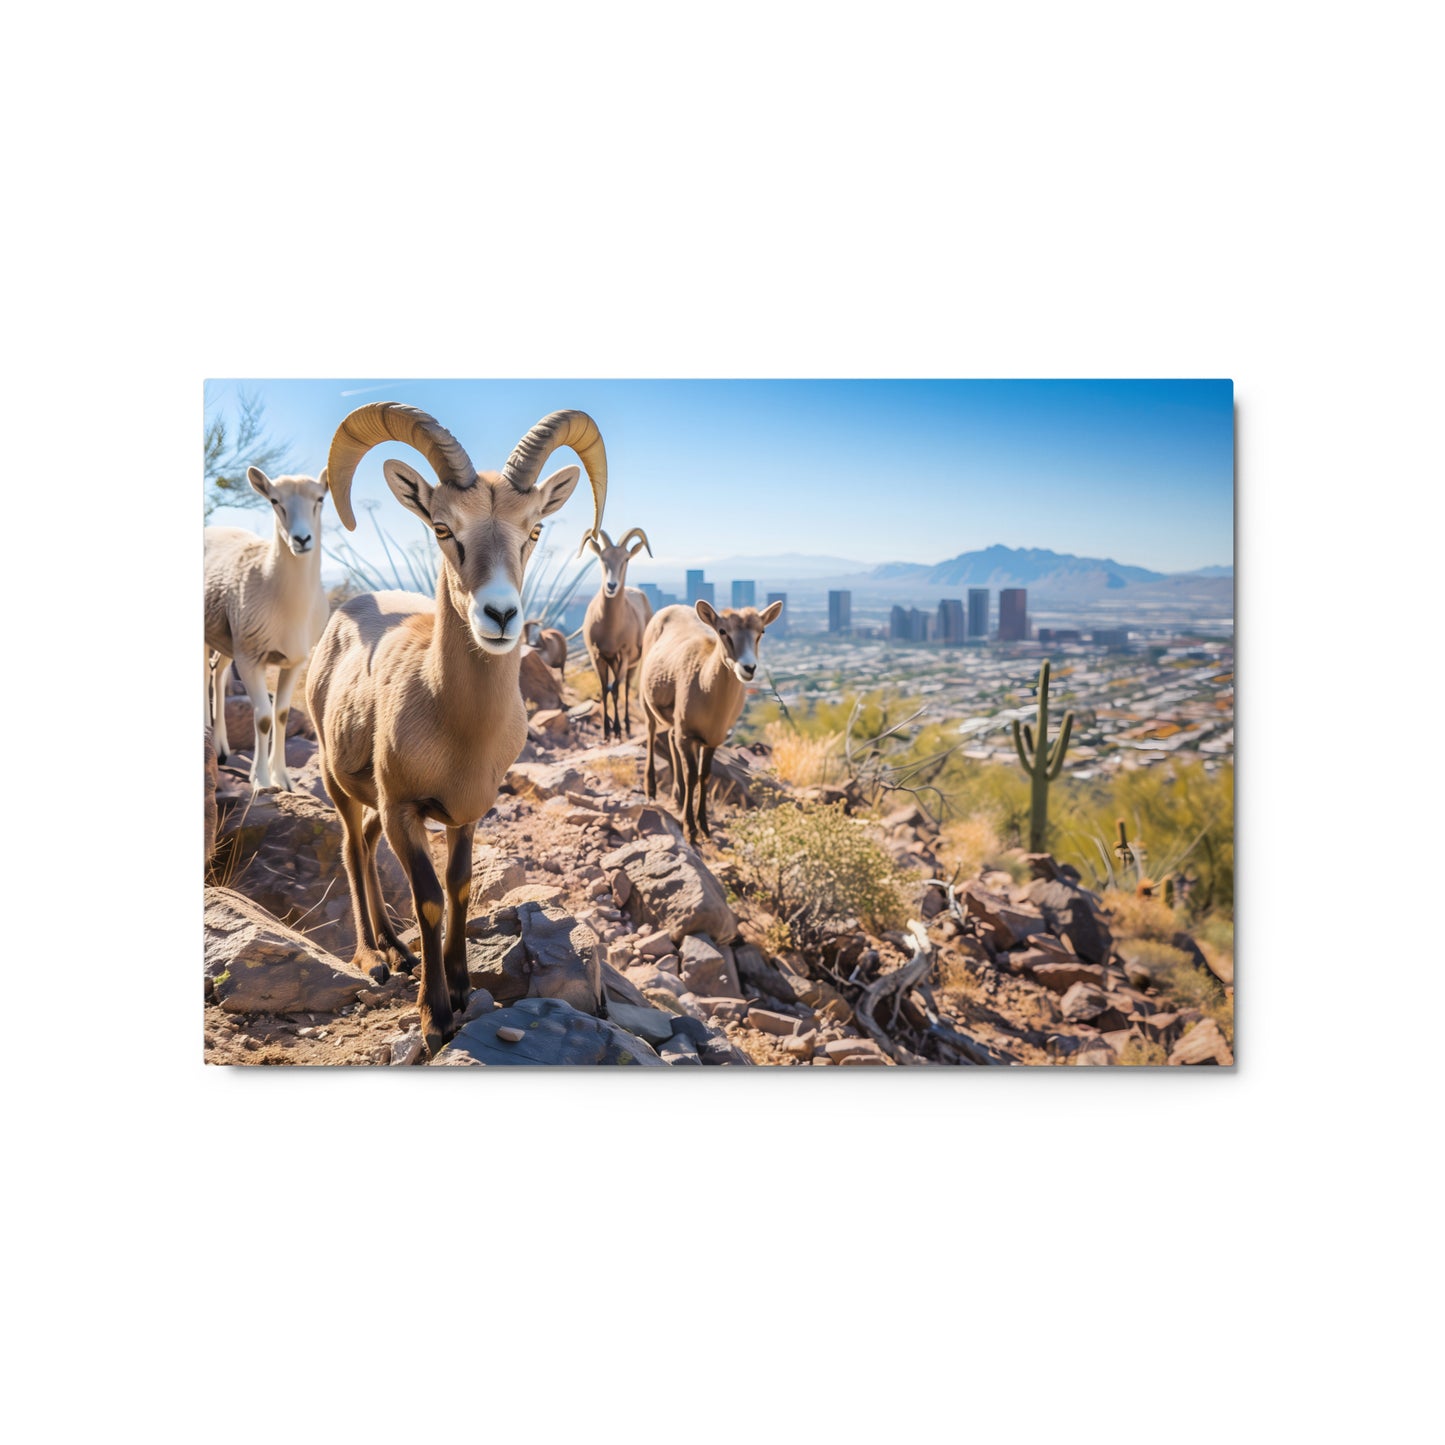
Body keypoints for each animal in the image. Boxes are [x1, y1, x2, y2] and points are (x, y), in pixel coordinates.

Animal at [204, 469, 330, 791]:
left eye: (320, 499)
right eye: (275, 501)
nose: (302, 539)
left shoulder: (295, 662)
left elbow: (281, 714)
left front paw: (282, 779)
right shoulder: (250, 661)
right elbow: (262, 718)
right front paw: (261, 780)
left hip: (228, 640)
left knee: (217, 674)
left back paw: (221, 748)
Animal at [304, 403, 606, 1055]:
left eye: (532, 532)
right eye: (444, 529)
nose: (500, 615)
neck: (455, 725)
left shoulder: (466, 815)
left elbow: (460, 887)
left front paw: (463, 985)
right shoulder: (405, 810)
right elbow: (428, 899)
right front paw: (436, 1017)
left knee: (368, 844)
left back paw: (395, 949)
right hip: (338, 781)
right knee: (351, 847)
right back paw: (374, 958)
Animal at [578, 527, 654, 739]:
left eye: (626, 559)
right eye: (603, 558)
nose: (611, 586)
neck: (610, 628)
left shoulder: (624, 655)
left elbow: (616, 689)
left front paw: (618, 729)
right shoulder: (597, 655)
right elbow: (605, 688)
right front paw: (606, 730)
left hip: (632, 664)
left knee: (626, 687)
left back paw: (627, 725)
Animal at [639, 598, 783, 845]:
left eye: (761, 631)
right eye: (723, 630)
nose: (748, 668)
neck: (704, 684)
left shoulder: (712, 739)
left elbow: (704, 776)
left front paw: (705, 828)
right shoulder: (688, 735)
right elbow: (691, 776)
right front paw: (690, 830)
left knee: (670, 736)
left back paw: (677, 795)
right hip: (646, 698)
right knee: (650, 730)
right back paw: (651, 790)